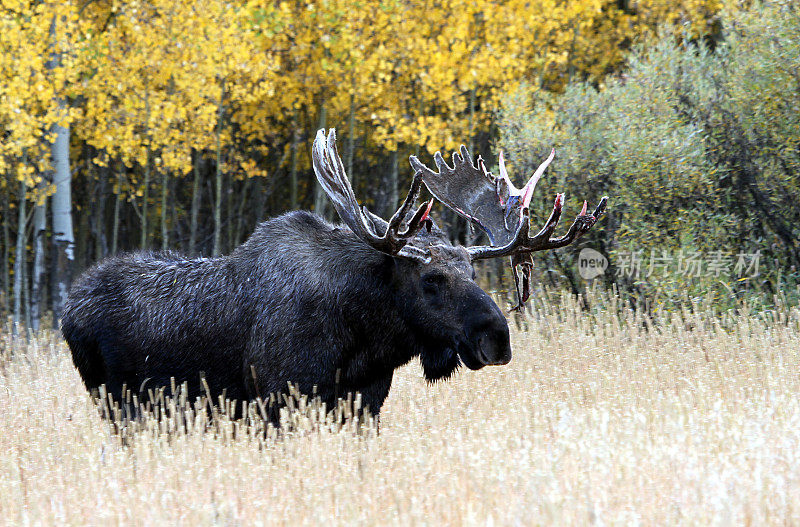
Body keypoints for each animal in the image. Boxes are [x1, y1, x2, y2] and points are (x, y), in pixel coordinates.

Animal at [62, 131, 608, 420]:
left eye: (473, 268)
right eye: (430, 280)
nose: (497, 339)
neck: (362, 338)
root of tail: (69, 307)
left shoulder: (366, 400)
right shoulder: (278, 400)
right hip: (117, 403)